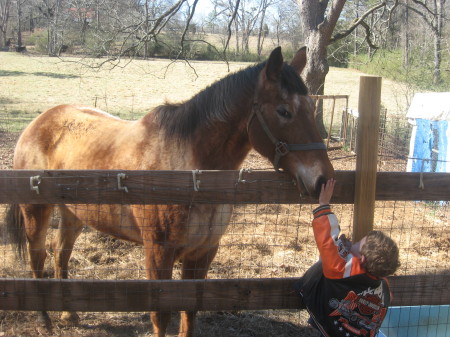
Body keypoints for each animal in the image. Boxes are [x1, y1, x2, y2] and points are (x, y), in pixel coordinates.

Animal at [5, 46, 332, 336]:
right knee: (38, 257)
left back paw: (68, 314)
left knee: (61, 254)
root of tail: (39, 122)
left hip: (73, 213)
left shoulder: (203, 253)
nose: (323, 180)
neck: (189, 171)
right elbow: (161, 314)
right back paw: (44, 320)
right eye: (284, 111)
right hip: (36, 212)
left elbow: (190, 310)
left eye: (312, 108)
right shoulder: (158, 252)